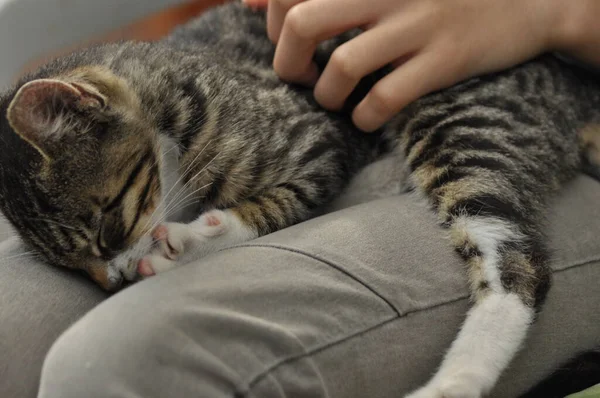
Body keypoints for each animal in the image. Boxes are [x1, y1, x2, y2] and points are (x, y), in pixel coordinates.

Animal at [1, 0, 600, 398]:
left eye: (106, 228)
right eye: (74, 266)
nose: (116, 281)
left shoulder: (317, 139)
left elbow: (278, 202)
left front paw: (194, 242)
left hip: (458, 110)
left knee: (517, 264)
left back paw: (452, 382)